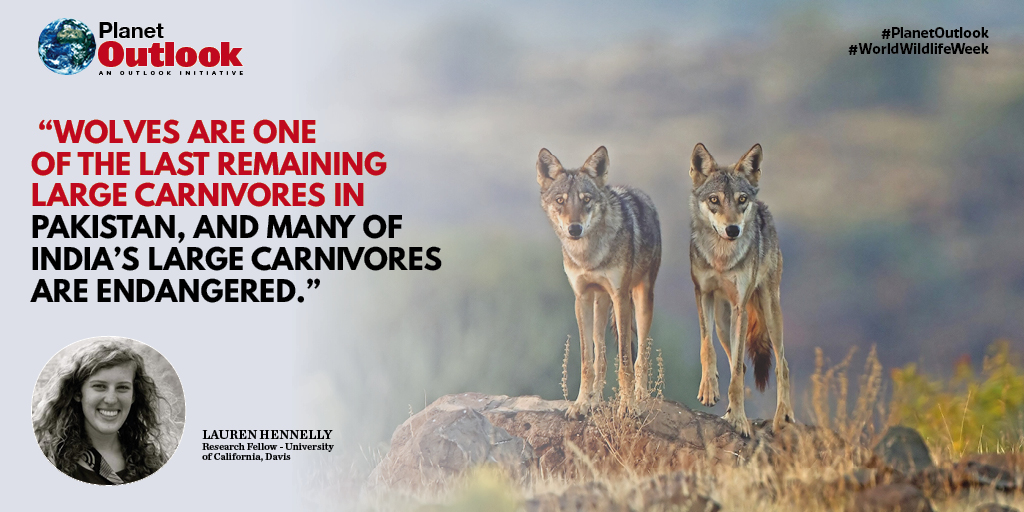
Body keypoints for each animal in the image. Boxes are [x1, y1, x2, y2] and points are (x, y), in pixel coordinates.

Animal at [537, 146, 662, 417]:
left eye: (586, 200)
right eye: (560, 201)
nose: (574, 229)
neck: (589, 255)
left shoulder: (620, 296)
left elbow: (625, 360)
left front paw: (627, 406)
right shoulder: (581, 297)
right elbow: (587, 360)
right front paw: (581, 403)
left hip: (641, 300)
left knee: (640, 356)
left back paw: (641, 396)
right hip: (599, 305)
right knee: (600, 357)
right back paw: (595, 400)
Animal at [688, 143, 794, 437]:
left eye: (741, 199)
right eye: (714, 200)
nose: (733, 229)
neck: (722, 257)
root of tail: (764, 208)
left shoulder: (740, 308)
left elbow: (735, 372)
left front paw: (739, 421)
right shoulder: (702, 295)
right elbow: (707, 348)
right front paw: (709, 390)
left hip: (769, 312)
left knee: (782, 364)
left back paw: (783, 418)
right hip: (723, 323)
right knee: (745, 364)